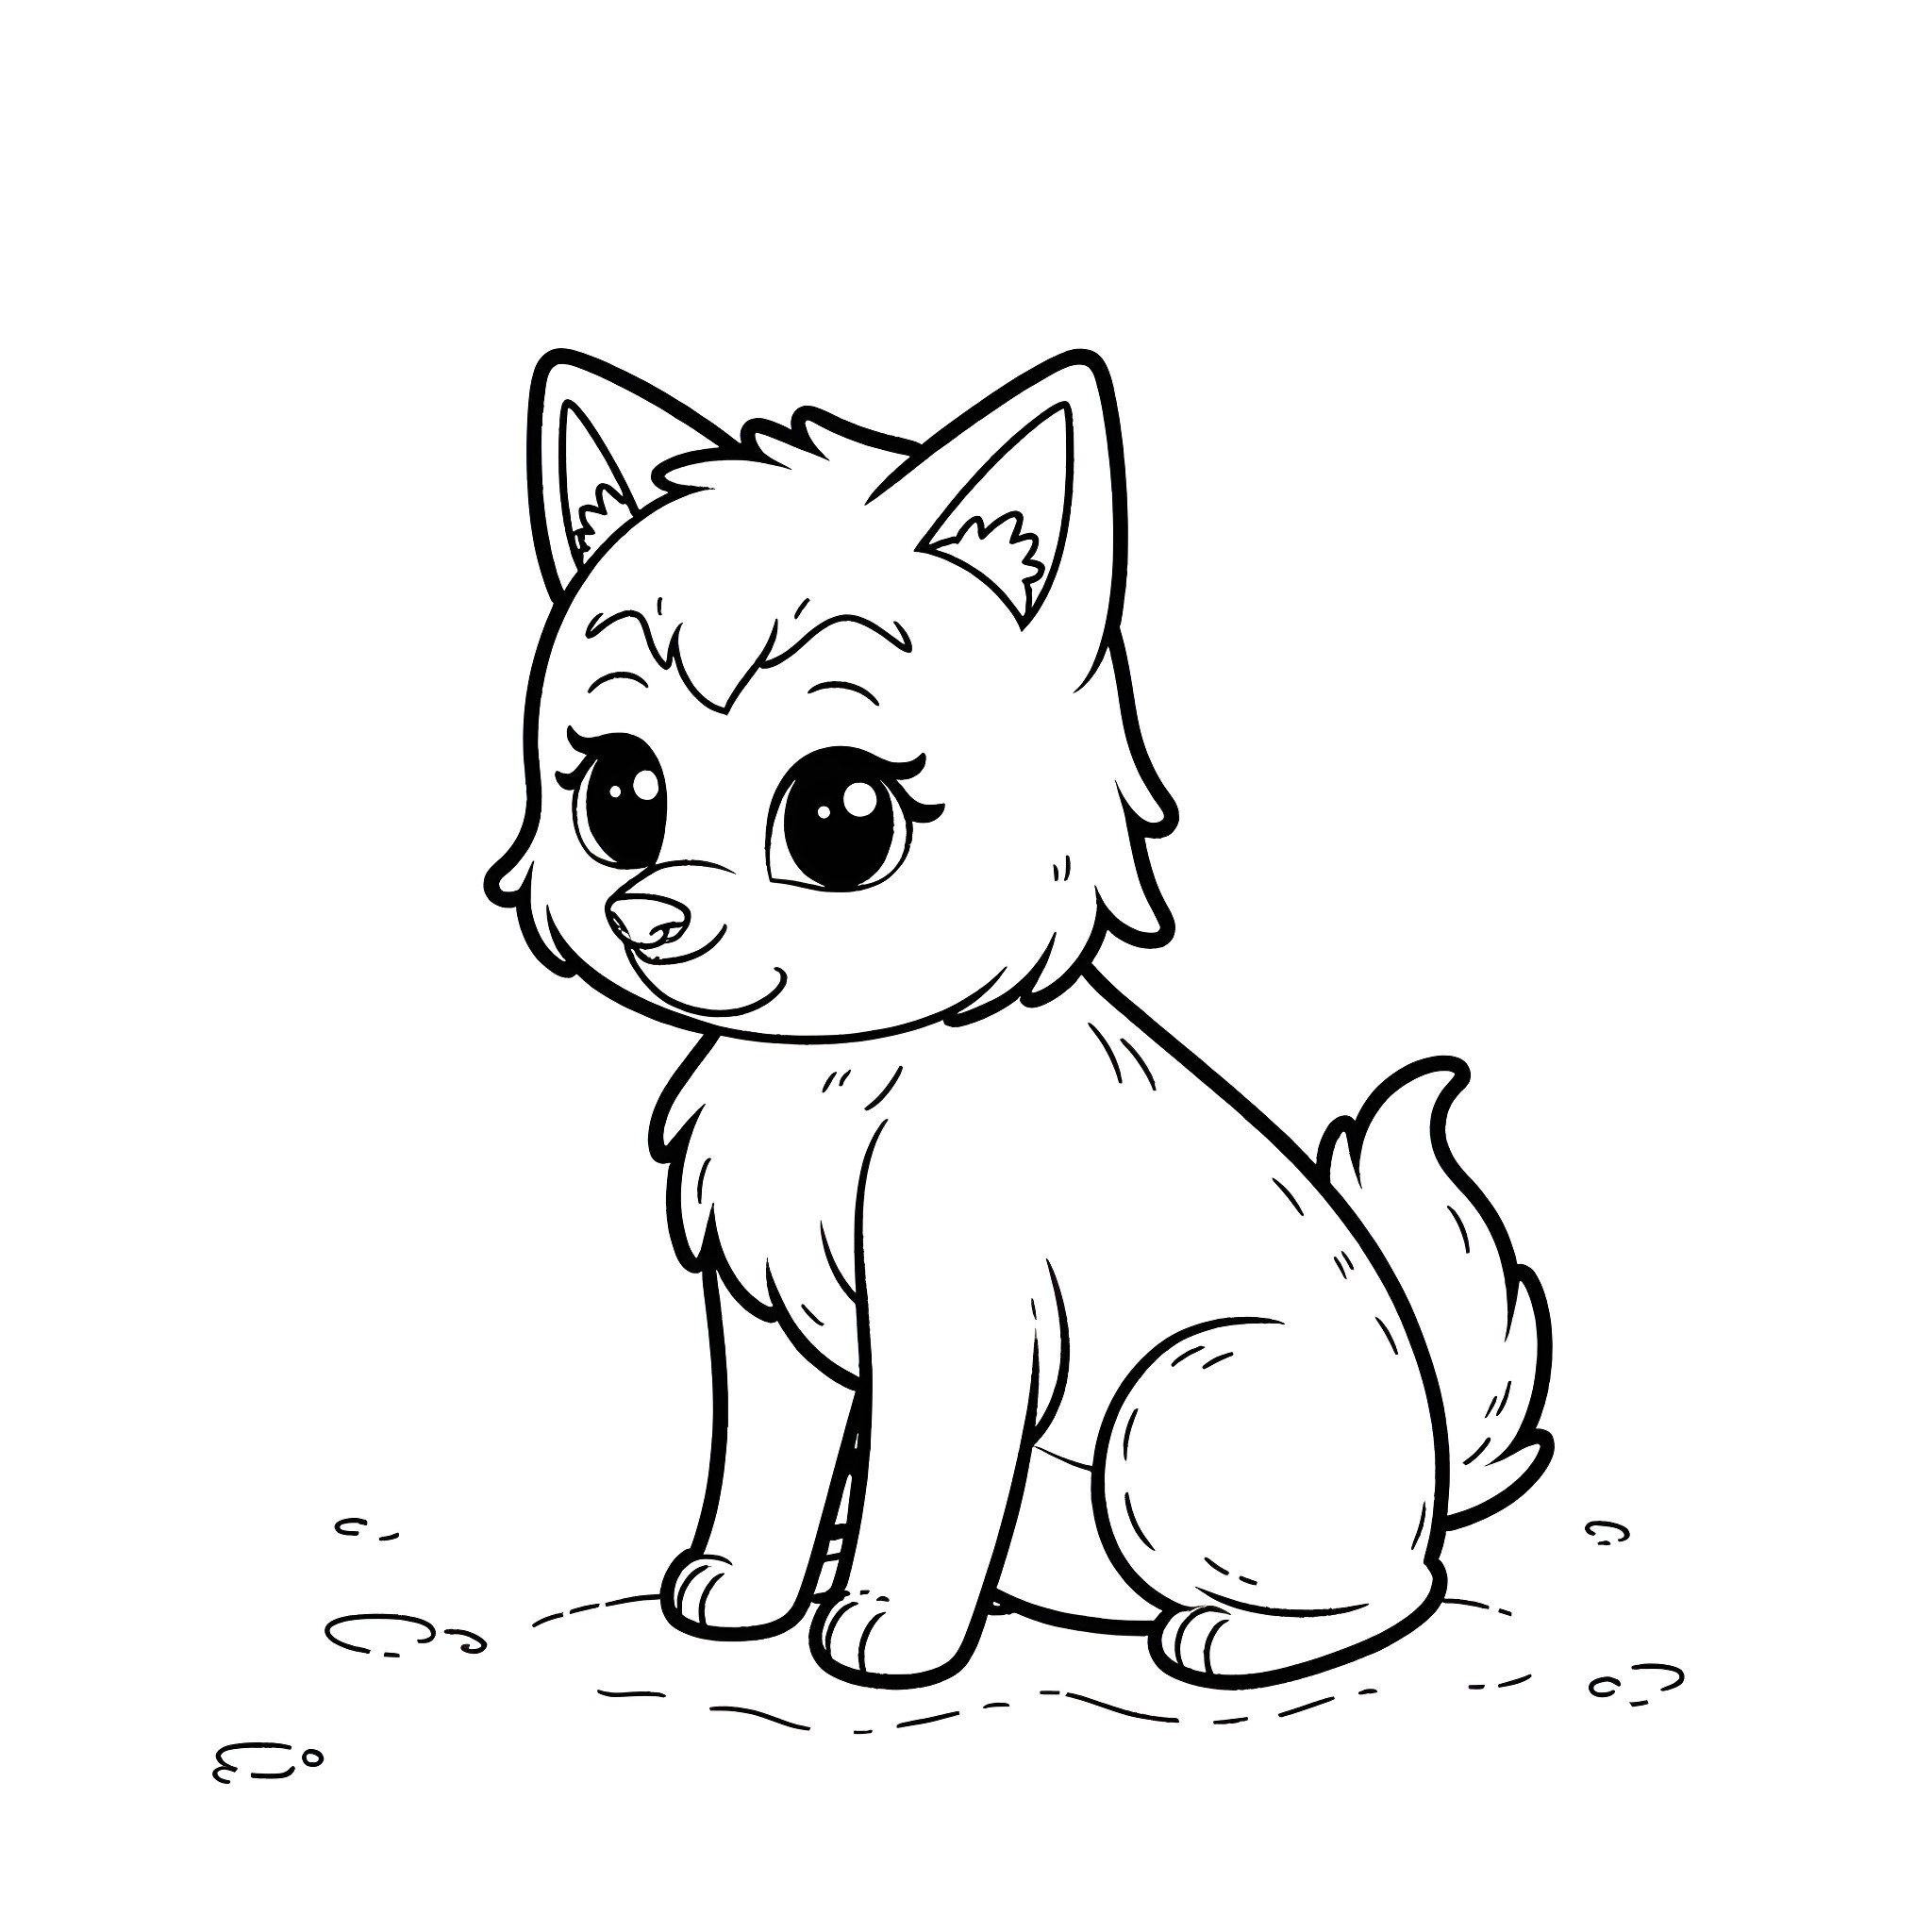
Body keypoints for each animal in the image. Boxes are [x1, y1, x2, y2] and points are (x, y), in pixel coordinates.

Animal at [487, 349, 1552, 1689]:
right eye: (620, 794)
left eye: (841, 817)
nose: (650, 911)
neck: (841, 1072)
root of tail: (1433, 1475)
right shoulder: (764, 1318)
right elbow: (764, 1469)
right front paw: (745, 1588)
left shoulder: (957, 1317)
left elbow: (923, 1482)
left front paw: (889, 1624)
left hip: (1178, 1397)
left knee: (1395, 1587)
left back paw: (1227, 1635)